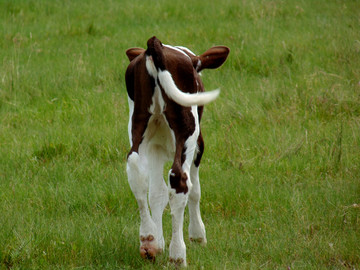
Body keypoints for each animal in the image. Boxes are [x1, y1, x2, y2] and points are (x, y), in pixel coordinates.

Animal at [125, 35, 229, 266]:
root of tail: (156, 45)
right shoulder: (198, 146)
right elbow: (195, 190)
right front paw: (198, 235)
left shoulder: (154, 148)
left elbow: (157, 193)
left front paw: (158, 243)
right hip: (188, 129)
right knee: (180, 181)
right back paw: (178, 255)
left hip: (138, 125)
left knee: (136, 171)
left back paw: (148, 240)